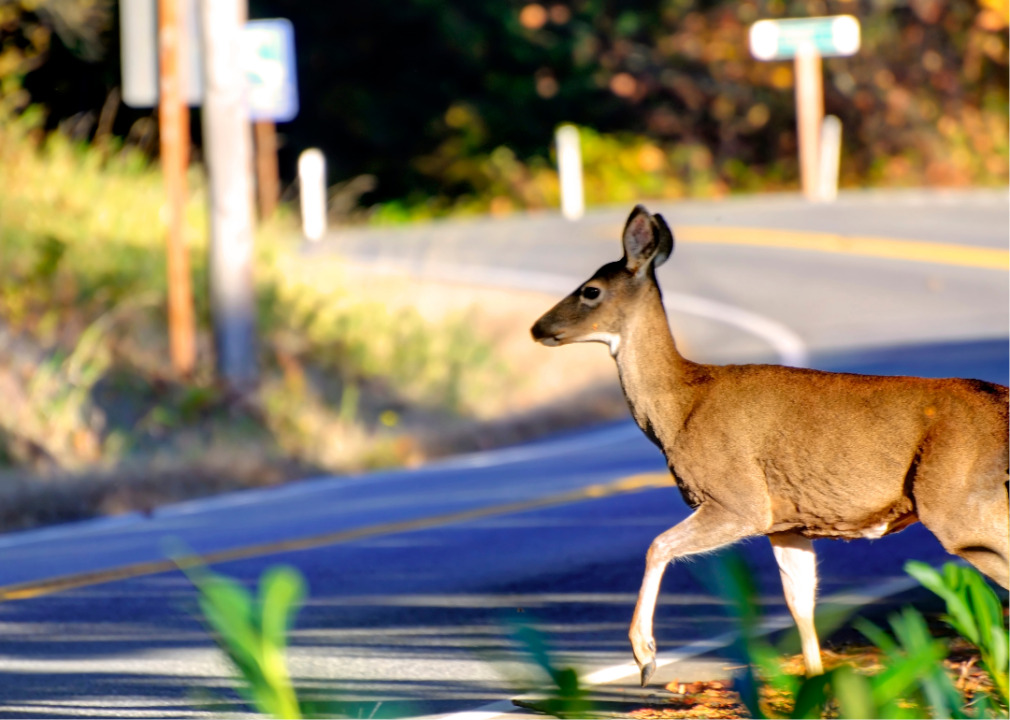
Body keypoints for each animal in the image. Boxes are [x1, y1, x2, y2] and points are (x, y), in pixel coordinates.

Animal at [533, 203, 1005, 686]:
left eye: (590, 290)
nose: (537, 327)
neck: (681, 407)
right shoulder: (789, 522)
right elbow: (800, 602)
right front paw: (815, 684)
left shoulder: (738, 499)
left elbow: (658, 545)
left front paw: (645, 657)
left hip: (958, 503)